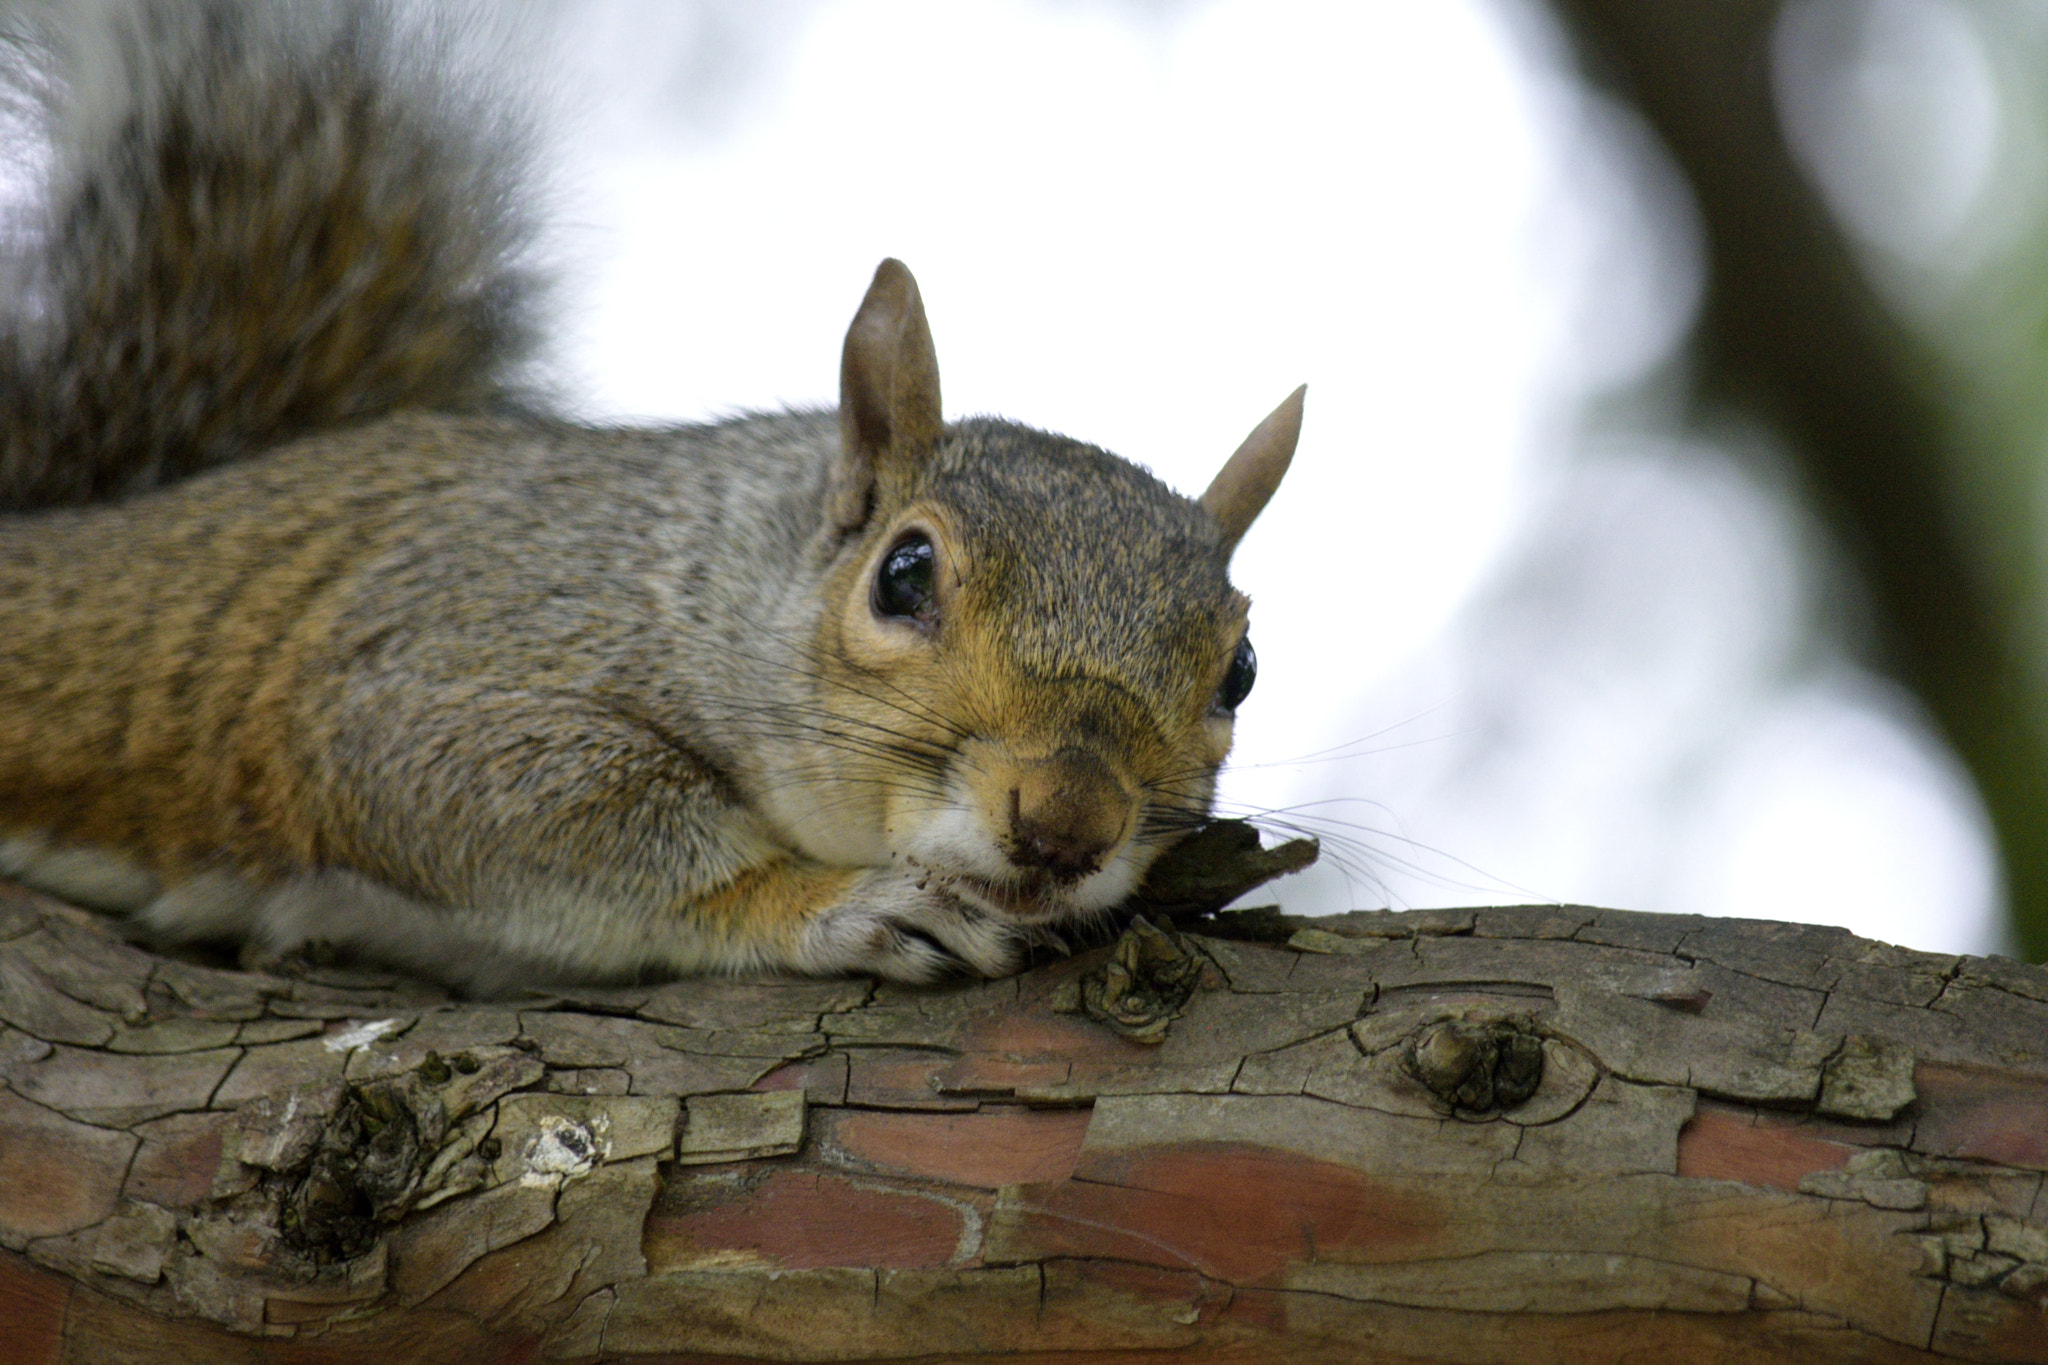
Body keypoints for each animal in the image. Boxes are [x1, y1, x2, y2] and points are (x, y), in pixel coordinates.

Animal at [0, 1, 1302, 993]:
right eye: (904, 574)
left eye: (1240, 672)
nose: (1066, 821)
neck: (728, 572)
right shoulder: (435, 668)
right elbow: (490, 794)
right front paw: (842, 902)